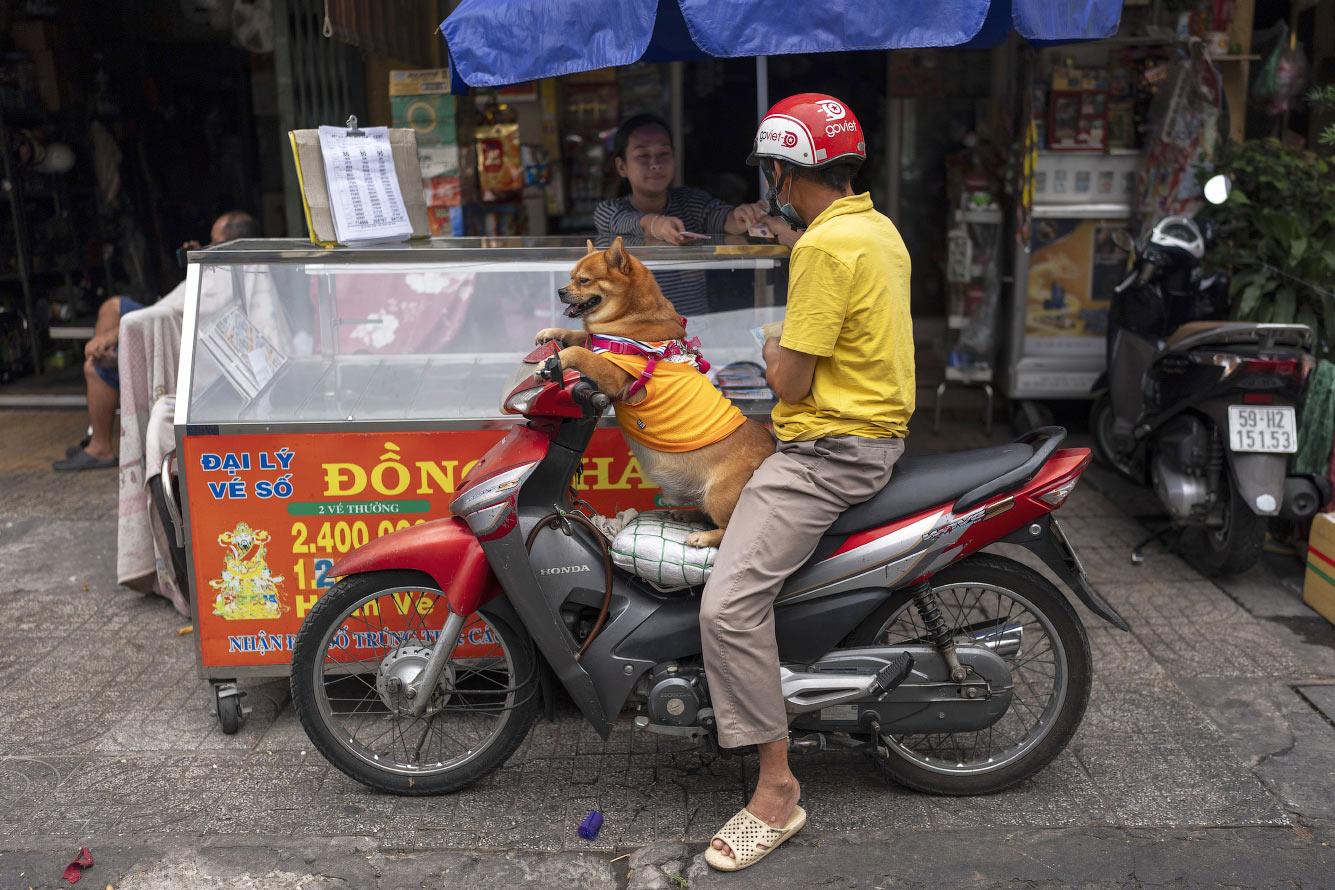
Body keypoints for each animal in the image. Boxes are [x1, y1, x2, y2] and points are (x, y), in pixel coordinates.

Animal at [536, 234, 779, 549]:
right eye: (570, 278)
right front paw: (551, 333)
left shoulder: (613, 375)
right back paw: (686, 514)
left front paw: (553, 360)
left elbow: (580, 350)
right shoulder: (598, 345)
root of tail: (772, 450)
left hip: (719, 495)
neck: (630, 319)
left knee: (729, 530)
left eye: (584, 280)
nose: (561, 291)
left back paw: (702, 536)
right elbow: (581, 337)